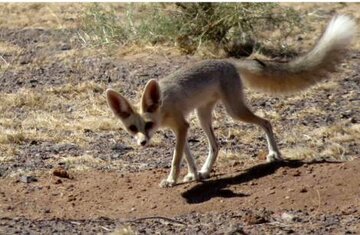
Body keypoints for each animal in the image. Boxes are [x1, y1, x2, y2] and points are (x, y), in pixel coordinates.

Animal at [106, 15, 358, 187]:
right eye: (132, 128)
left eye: (148, 124)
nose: (142, 143)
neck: (163, 106)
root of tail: (228, 62)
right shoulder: (182, 128)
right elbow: (187, 156)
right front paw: (194, 174)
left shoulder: (182, 126)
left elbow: (176, 159)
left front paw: (172, 180)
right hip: (203, 115)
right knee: (216, 145)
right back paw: (206, 171)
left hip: (234, 111)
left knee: (266, 122)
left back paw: (274, 155)